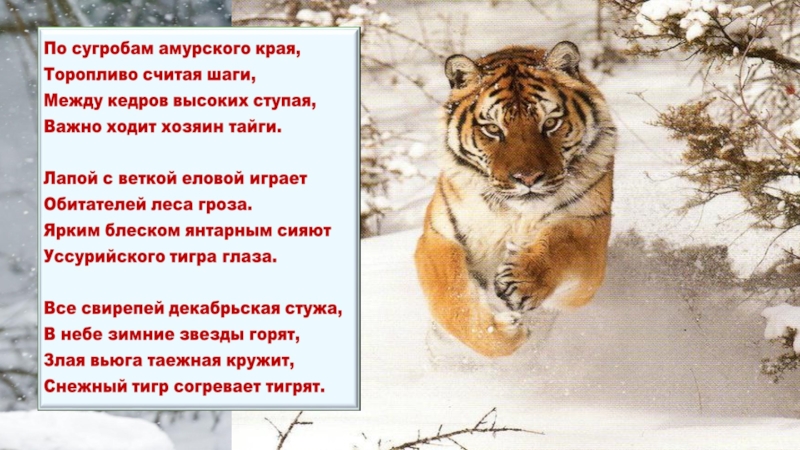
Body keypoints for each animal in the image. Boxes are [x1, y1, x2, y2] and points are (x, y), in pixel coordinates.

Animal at [414, 42, 616, 358]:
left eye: (550, 123)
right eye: (493, 129)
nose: (528, 178)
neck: (514, 213)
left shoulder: (590, 230)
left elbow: (565, 243)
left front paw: (520, 280)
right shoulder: (438, 236)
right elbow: (451, 297)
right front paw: (504, 332)